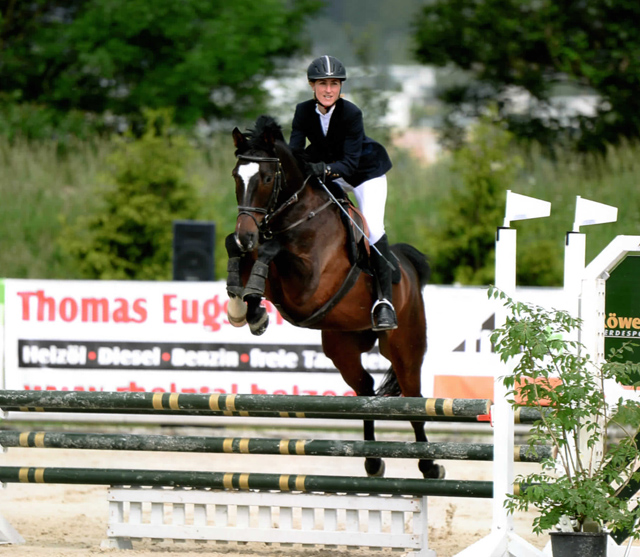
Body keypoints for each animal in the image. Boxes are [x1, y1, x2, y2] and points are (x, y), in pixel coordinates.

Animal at [222, 114, 442, 478]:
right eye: (236, 177)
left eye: (266, 178)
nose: (246, 235)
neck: (296, 216)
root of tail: (409, 269)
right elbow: (248, 263)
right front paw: (247, 310)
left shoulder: (307, 286)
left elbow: (272, 250)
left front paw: (251, 303)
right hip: (343, 346)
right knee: (365, 389)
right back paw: (372, 461)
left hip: (405, 346)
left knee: (413, 399)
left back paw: (429, 466)